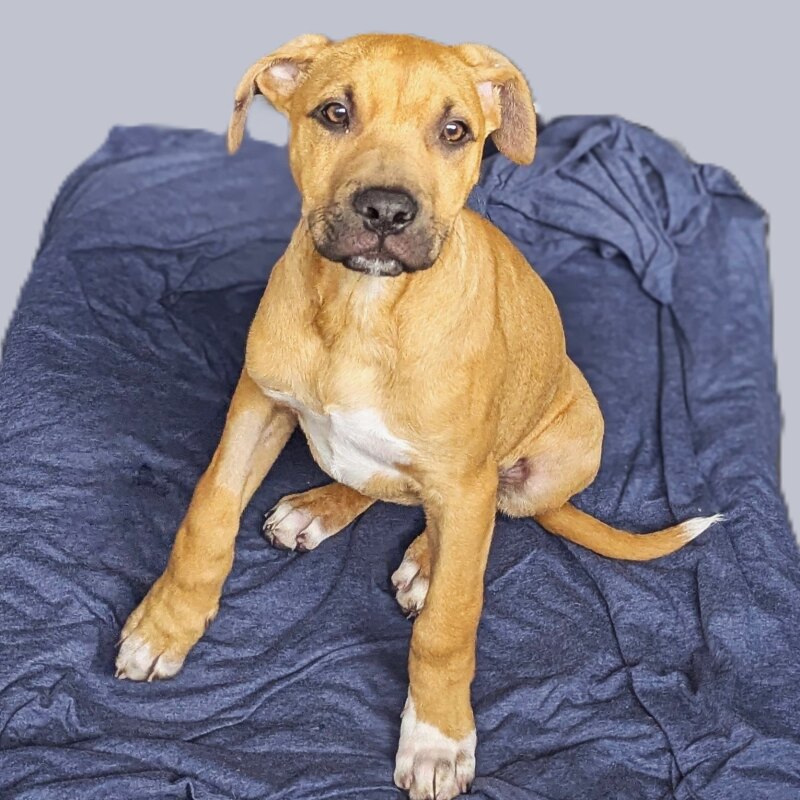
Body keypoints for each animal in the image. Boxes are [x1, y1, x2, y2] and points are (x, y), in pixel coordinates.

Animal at [115, 33, 721, 800]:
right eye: (335, 113)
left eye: (455, 130)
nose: (385, 211)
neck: (365, 309)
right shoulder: (258, 400)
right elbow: (207, 513)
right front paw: (166, 626)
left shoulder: (462, 484)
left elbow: (449, 624)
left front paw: (437, 738)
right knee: (382, 485)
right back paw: (322, 507)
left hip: (559, 451)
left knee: (485, 515)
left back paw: (427, 561)